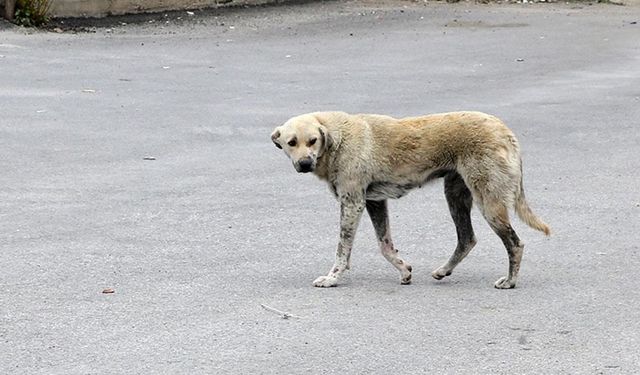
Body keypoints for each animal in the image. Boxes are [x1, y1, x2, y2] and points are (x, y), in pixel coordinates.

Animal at [270, 110, 552, 290]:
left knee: (515, 244)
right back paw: (444, 270)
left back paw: (510, 281)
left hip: (489, 203)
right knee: (467, 239)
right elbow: (385, 245)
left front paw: (332, 278)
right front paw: (404, 270)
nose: (304, 164)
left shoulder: (352, 203)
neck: (336, 139)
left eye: (313, 141)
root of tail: (505, 130)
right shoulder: (374, 203)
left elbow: (342, 250)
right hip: (455, 196)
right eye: (291, 142)